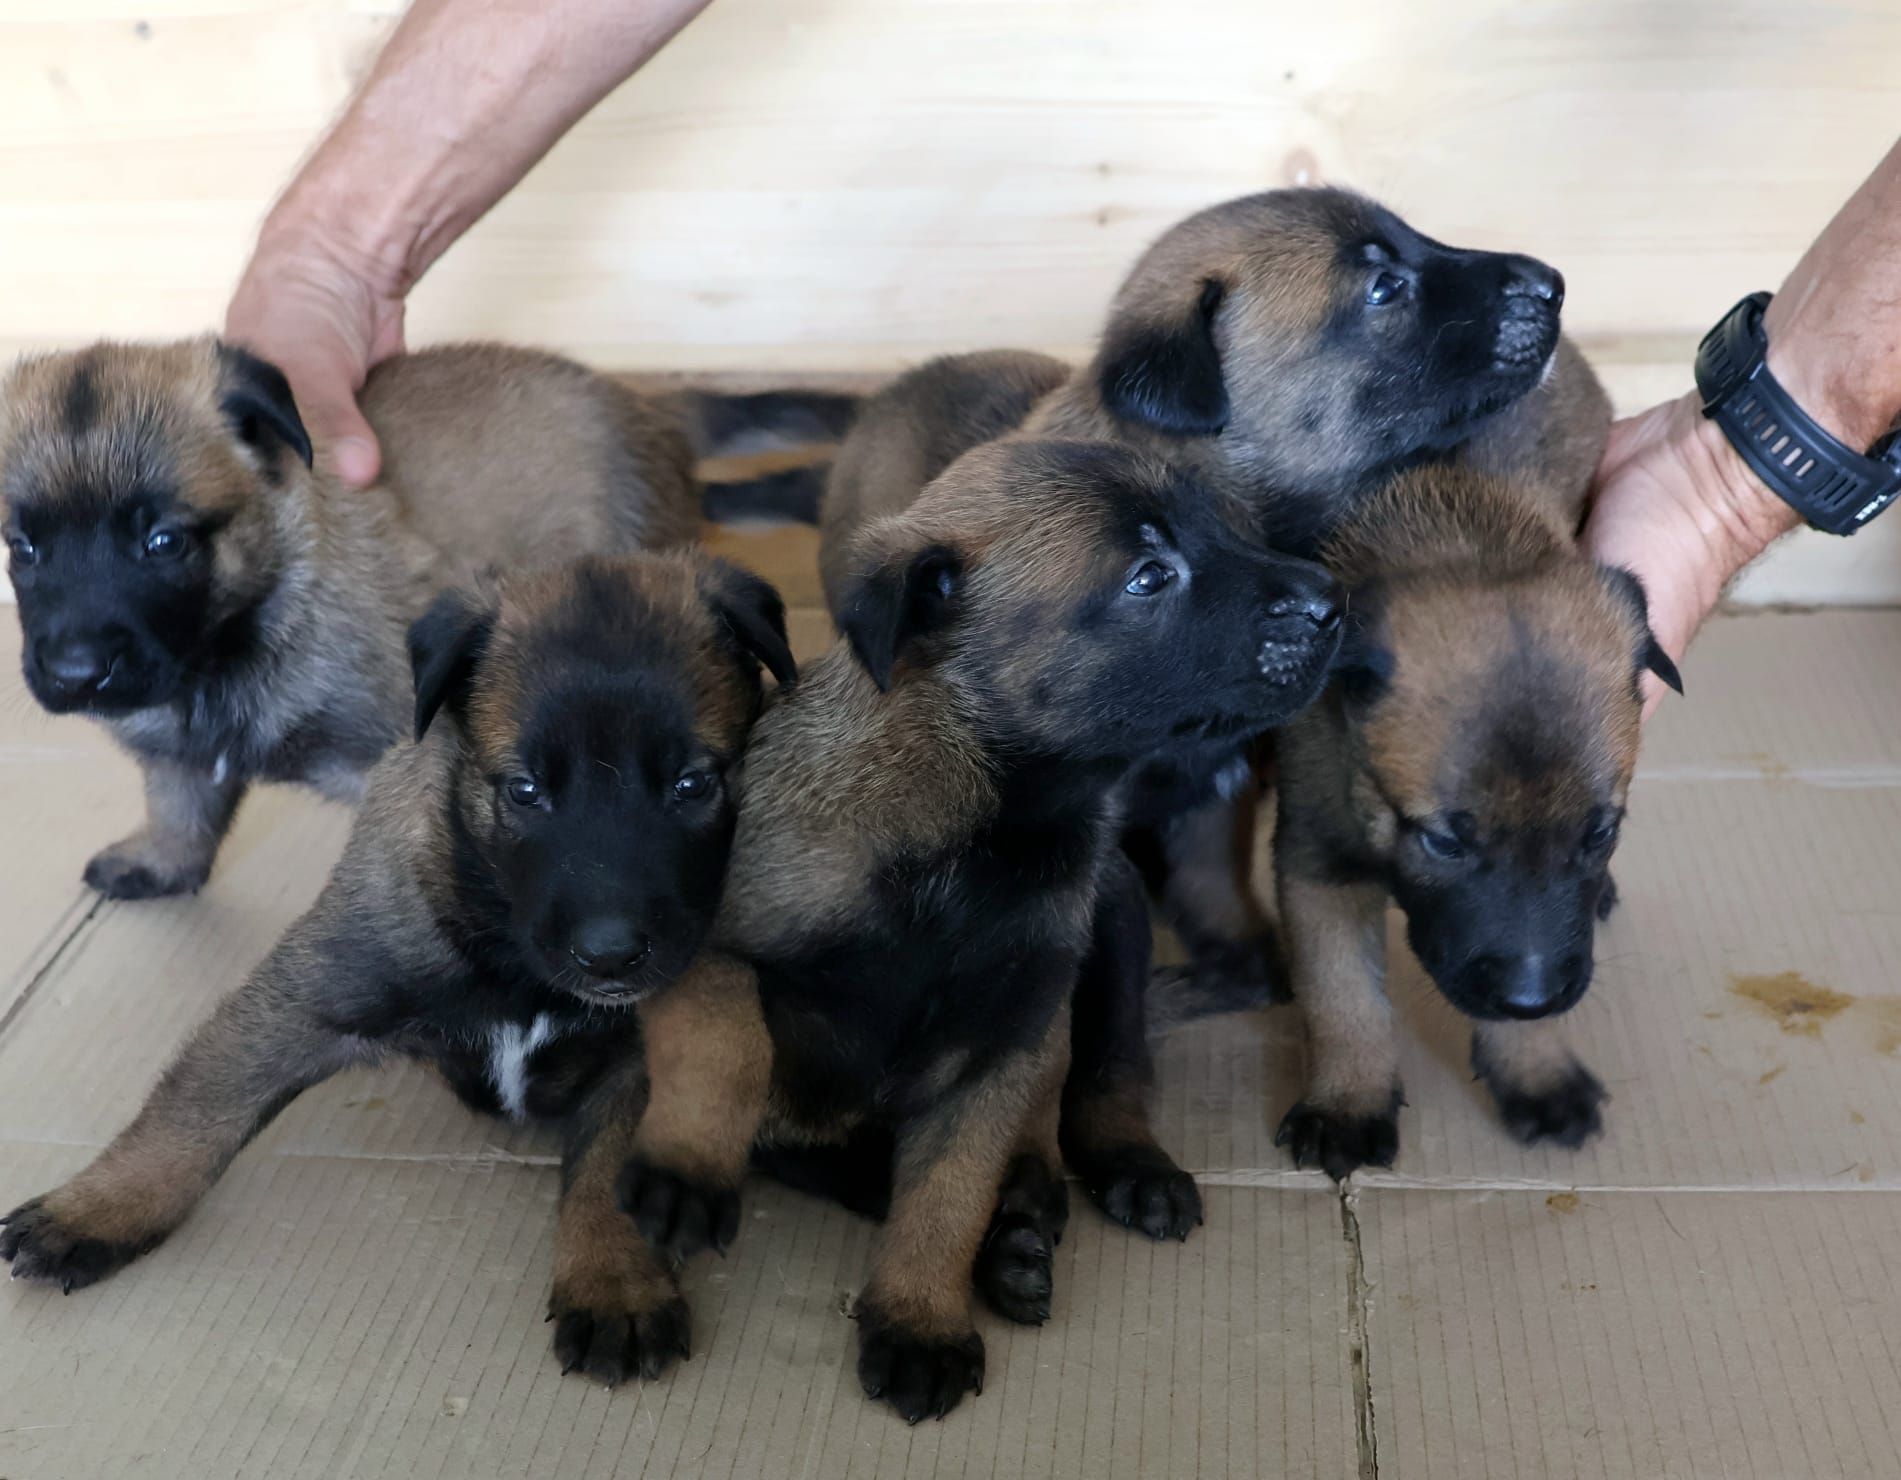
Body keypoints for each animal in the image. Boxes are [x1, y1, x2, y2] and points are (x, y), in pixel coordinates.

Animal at [0, 338, 836, 904]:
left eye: (164, 542)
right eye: (21, 547)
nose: (75, 674)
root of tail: (647, 407)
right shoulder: (174, 750)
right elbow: (180, 805)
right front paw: (161, 861)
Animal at [0, 550, 794, 1398]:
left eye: (693, 785)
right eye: (524, 791)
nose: (609, 954)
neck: (507, 947)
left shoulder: (630, 1059)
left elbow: (610, 1175)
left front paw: (615, 1282)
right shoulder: (302, 1000)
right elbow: (189, 1113)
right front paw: (96, 1207)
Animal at [615, 440, 1345, 1421]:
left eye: (1231, 528)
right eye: (1148, 576)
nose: (1333, 599)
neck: (975, 835)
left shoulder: (1003, 1040)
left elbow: (950, 1193)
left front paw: (920, 1320)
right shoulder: (705, 946)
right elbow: (724, 1042)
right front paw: (686, 1169)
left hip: (1115, 924)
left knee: (1107, 1079)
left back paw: (1084, 1188)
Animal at [1277, 463, 1680, 1177]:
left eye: (1600, 834)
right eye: (1443, 843)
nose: (1532, 995)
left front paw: (1535, 1069)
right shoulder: (1318, 862)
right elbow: (1339, 991)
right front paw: (1349, 1100)